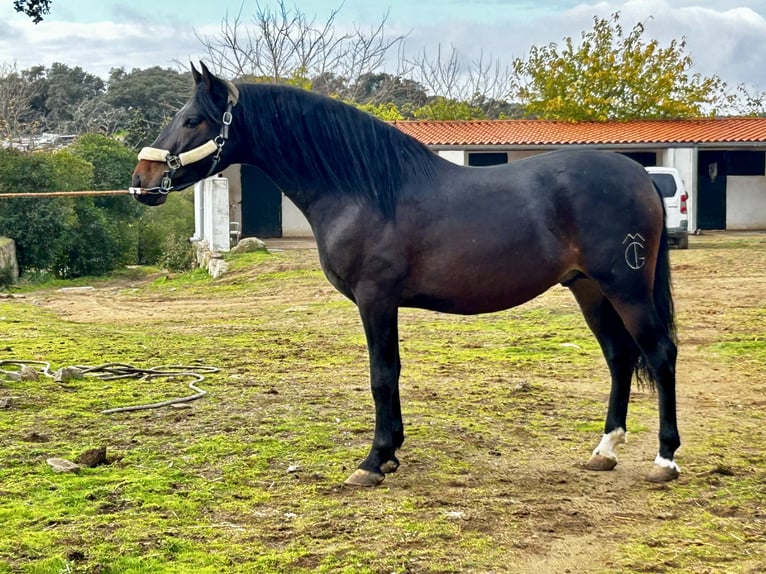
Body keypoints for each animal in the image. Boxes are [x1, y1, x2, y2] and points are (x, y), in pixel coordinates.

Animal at [132, 62, 684, 486]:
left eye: (193, 120)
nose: (141, 181)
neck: (365, 190)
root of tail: (640, 175)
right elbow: (389, 374)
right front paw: (391, 452)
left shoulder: (375, 298)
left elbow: (382, 374)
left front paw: (374, 461)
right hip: (589, 289)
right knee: (619, 357)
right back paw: (604, 450)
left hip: (626, 287)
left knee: (659, 354)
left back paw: (664, 459)